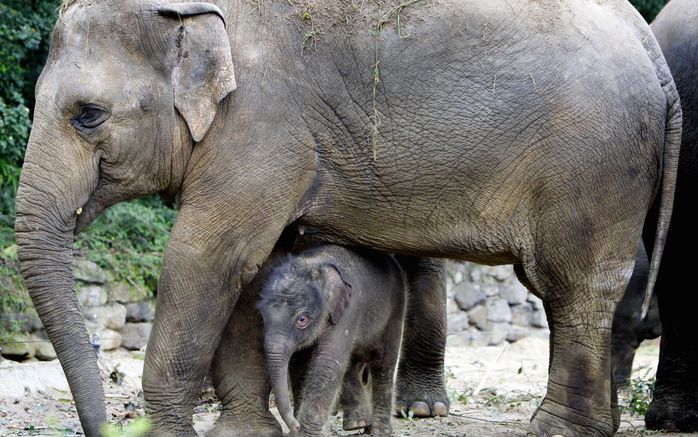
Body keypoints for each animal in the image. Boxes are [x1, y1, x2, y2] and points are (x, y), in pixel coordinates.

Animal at [256, 244, 406, 434]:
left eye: (302, 319)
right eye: (263, 316)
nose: (294, 425)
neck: (314, 263)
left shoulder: (349, 311)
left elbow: (327, 363)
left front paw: (303, 434)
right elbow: (299, 366)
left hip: (396, 310)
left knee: (383, 364)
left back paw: (380, 431)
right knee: (351, 364)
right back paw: (359, 424)